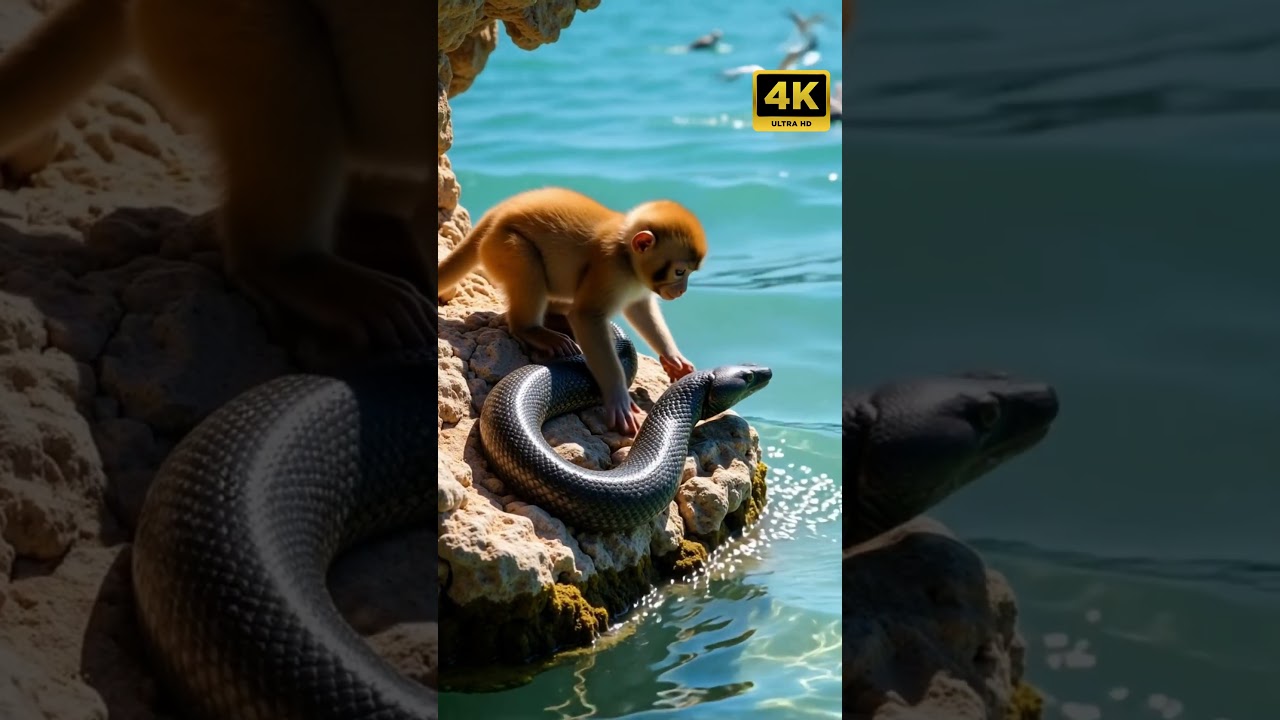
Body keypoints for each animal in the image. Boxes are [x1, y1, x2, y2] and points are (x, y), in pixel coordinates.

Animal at [438, 188, 706, 436]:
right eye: (680, 272)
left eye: (688, 273)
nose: (681, 290)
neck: (625, 253)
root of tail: (491, 220)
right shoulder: (609, 269)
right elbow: (586, 317)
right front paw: (618, 398)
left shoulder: (636, 282)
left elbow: (639, 309)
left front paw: (673, 359)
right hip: (503, 247)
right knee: (528, 265)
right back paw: (533, 330)